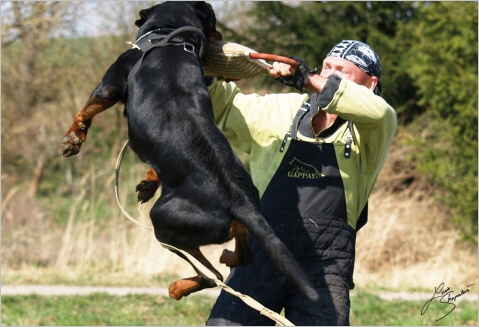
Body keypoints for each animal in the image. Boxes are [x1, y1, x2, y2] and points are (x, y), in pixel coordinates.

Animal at [60, 1, 322, 306]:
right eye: (214, 25)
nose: (221, 37)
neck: (170, 38)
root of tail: (240, 201)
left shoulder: (111, 82)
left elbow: (87, 109)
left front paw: (74, 138)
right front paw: (148, 182)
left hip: (165, 223)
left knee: (212, 275)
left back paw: (179, 287)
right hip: (226, 225)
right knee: (242, 256)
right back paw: (228, 257)